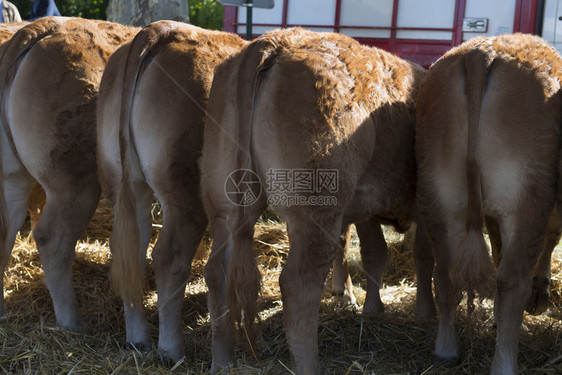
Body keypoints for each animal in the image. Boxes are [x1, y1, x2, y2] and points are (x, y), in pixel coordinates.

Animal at [96, 21, 245, 364]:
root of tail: (160, 29)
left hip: (124, 185)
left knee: (131, 253)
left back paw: (138, 340)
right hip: (184, 190)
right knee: (168, 255)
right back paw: (170, 349)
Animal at [199, 27, 422, 374]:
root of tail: (276, 42)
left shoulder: (364, 210)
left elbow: (371, 252)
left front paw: (364, 304)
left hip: (226, 208)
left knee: (217, 272)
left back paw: (222, 361)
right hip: (315, 212)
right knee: (298, 284)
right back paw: (309, 364)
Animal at [414, 33, 560, 374]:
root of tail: (481, 52)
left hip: (441, 197)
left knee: (445, 274)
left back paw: (446, 350)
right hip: (526, 201)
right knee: (511, 281)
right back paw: (505, 362)